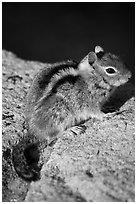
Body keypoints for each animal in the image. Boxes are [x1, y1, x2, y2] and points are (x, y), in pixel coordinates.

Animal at [12, 45, 131, 181]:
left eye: (119, 59)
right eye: (110, 70)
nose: (129, 76)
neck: (91, 78)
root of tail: (33, 131)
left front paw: (109, 108)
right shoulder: (90, 104)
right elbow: (97, 113)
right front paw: (107, 115)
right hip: (59, 114)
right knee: (53, 135)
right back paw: (71, 129)